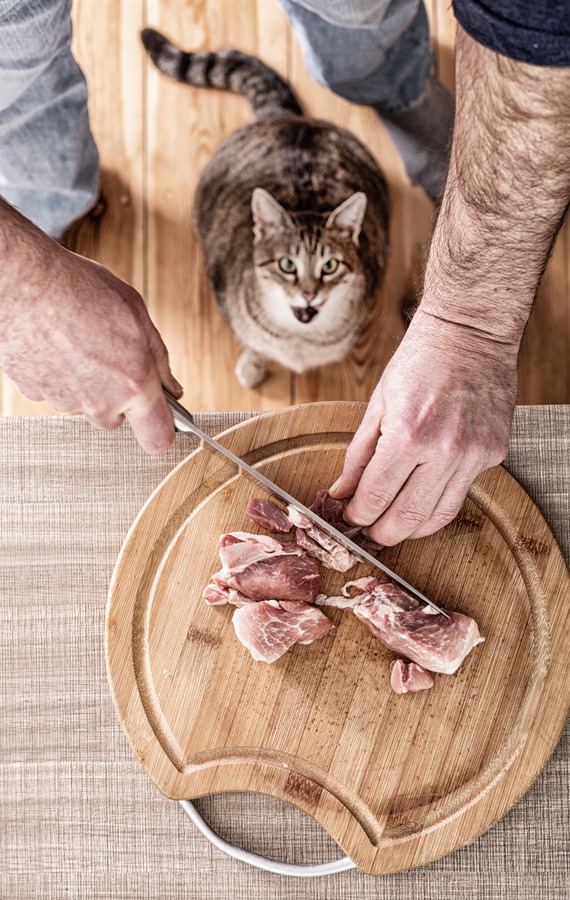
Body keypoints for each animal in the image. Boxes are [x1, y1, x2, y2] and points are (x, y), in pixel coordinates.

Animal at [142, 27, 390, 386]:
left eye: (330, 266)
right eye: (287, 265)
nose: (309, 293)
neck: (299, 339)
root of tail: (288, 117)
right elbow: (255, 344)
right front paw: (253, 366)